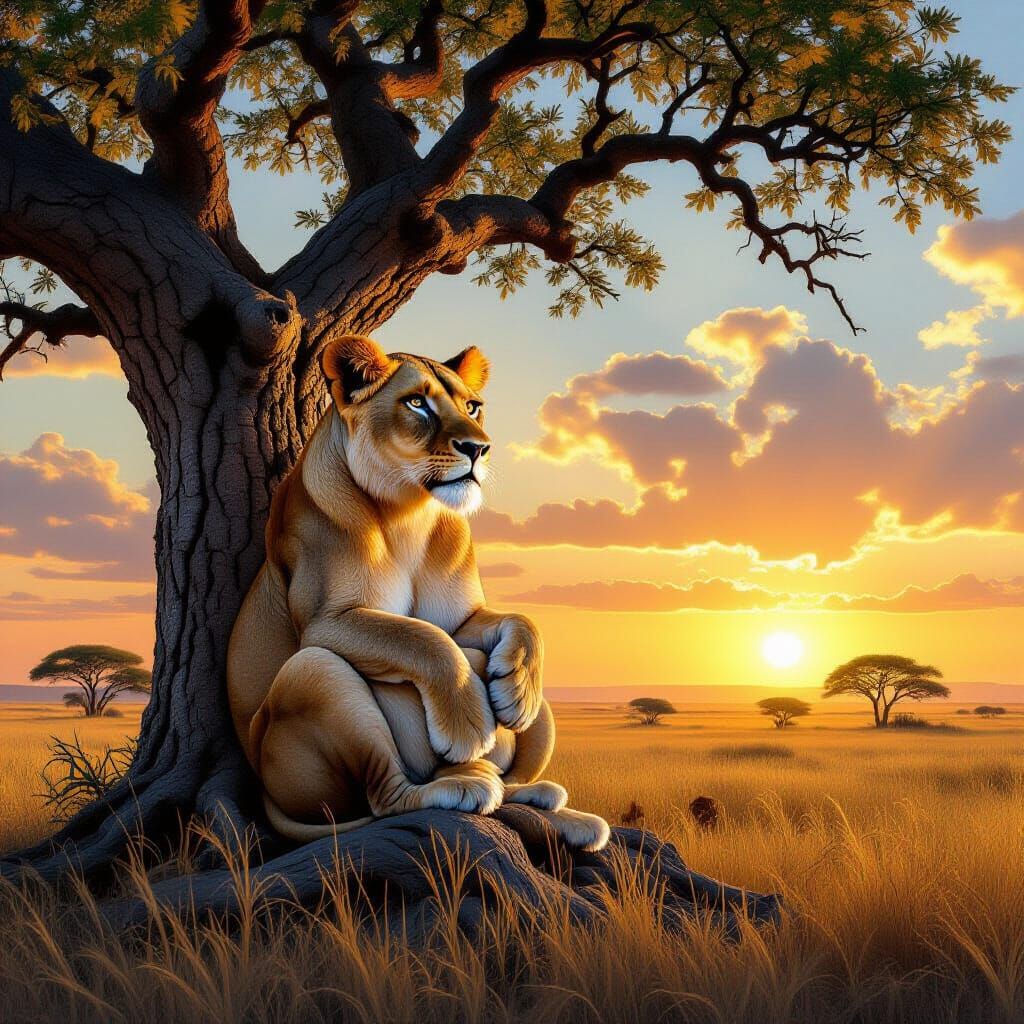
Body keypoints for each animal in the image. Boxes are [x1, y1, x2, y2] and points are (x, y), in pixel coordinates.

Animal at [226, 334, 610, 852]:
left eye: (472, 406)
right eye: (416, 403)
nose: (479, 448)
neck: (409, 512)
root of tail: (265, 793)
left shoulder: (461, 618)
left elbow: (515, 622)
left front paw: (515, 693)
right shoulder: (327, 620)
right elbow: (423, 639)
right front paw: (469, 726)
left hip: (543, 720)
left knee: (507, 780)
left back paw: (561, 807)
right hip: (315, 674)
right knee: (388, 796)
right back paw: (465, 782)